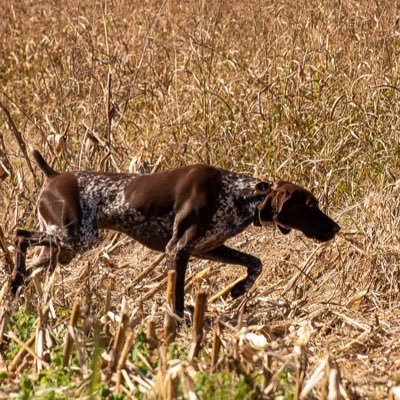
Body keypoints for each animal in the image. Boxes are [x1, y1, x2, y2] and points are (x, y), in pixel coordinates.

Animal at [10, 150, 340, 316]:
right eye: (311, 206)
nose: (337, 228)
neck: (238, 194)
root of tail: (54, 176)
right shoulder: (177, 250)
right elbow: (177, 296)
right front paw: (178, 327)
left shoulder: (208, 248)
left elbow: (255, 263)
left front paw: (236, 290)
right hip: (77, 237)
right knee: (19, 235)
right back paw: (13, 280)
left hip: (62, 250)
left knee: (33, 264)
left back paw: (15, 294)